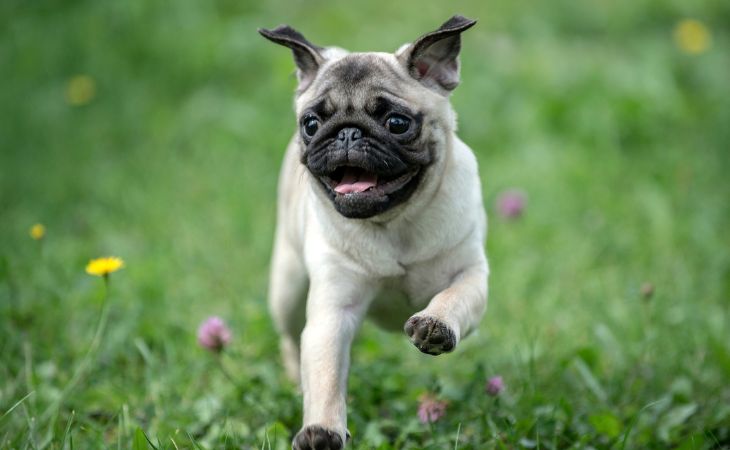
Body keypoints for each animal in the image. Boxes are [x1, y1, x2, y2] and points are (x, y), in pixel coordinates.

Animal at [258, 15, 486, 448]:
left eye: (396, 123)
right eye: (311, 124)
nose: (347, 132)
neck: (395, 222)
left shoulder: (471, 273)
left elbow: (455, 297)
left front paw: (435, 324)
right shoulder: (332, 313)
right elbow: (326, 376)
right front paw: (322, 430)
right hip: (287, 288)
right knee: (291, 341)